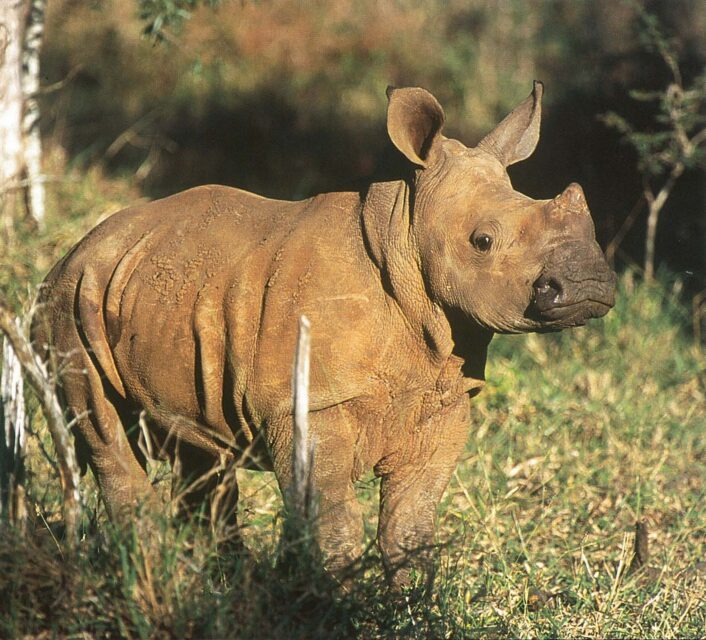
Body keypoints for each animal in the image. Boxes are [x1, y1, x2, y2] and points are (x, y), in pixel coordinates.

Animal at [34, 82, 616, 587]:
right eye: (483, 241)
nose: (590, 282)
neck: (403, 237)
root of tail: (76, 248)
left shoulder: (443, 396)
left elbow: (411, 523)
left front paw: (408, 608)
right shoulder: (310, 400)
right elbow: (332, 519)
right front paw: (336, 600)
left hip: (160, 291)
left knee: (201, 450)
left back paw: (221, 584)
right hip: (70, 300)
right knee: (107, 436)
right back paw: (155, 576)